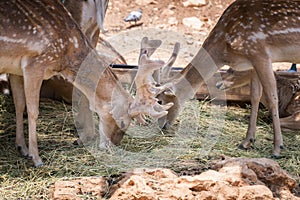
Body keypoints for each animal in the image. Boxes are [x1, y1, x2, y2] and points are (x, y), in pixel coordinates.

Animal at [0, 0, 175, 167]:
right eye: (123, 122)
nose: (113, 146)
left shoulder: (16, 69)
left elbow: (19, 104)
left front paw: (22, 147)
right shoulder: (35, 63)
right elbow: (33, 111)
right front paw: (36, 158)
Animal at [157, 0, 300, 158]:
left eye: (159, 101)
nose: (161, 126)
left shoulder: (260, 53)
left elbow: (272, 98)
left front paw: (277, 148)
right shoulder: (252, 60)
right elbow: (255, 96)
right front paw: (247, 142)